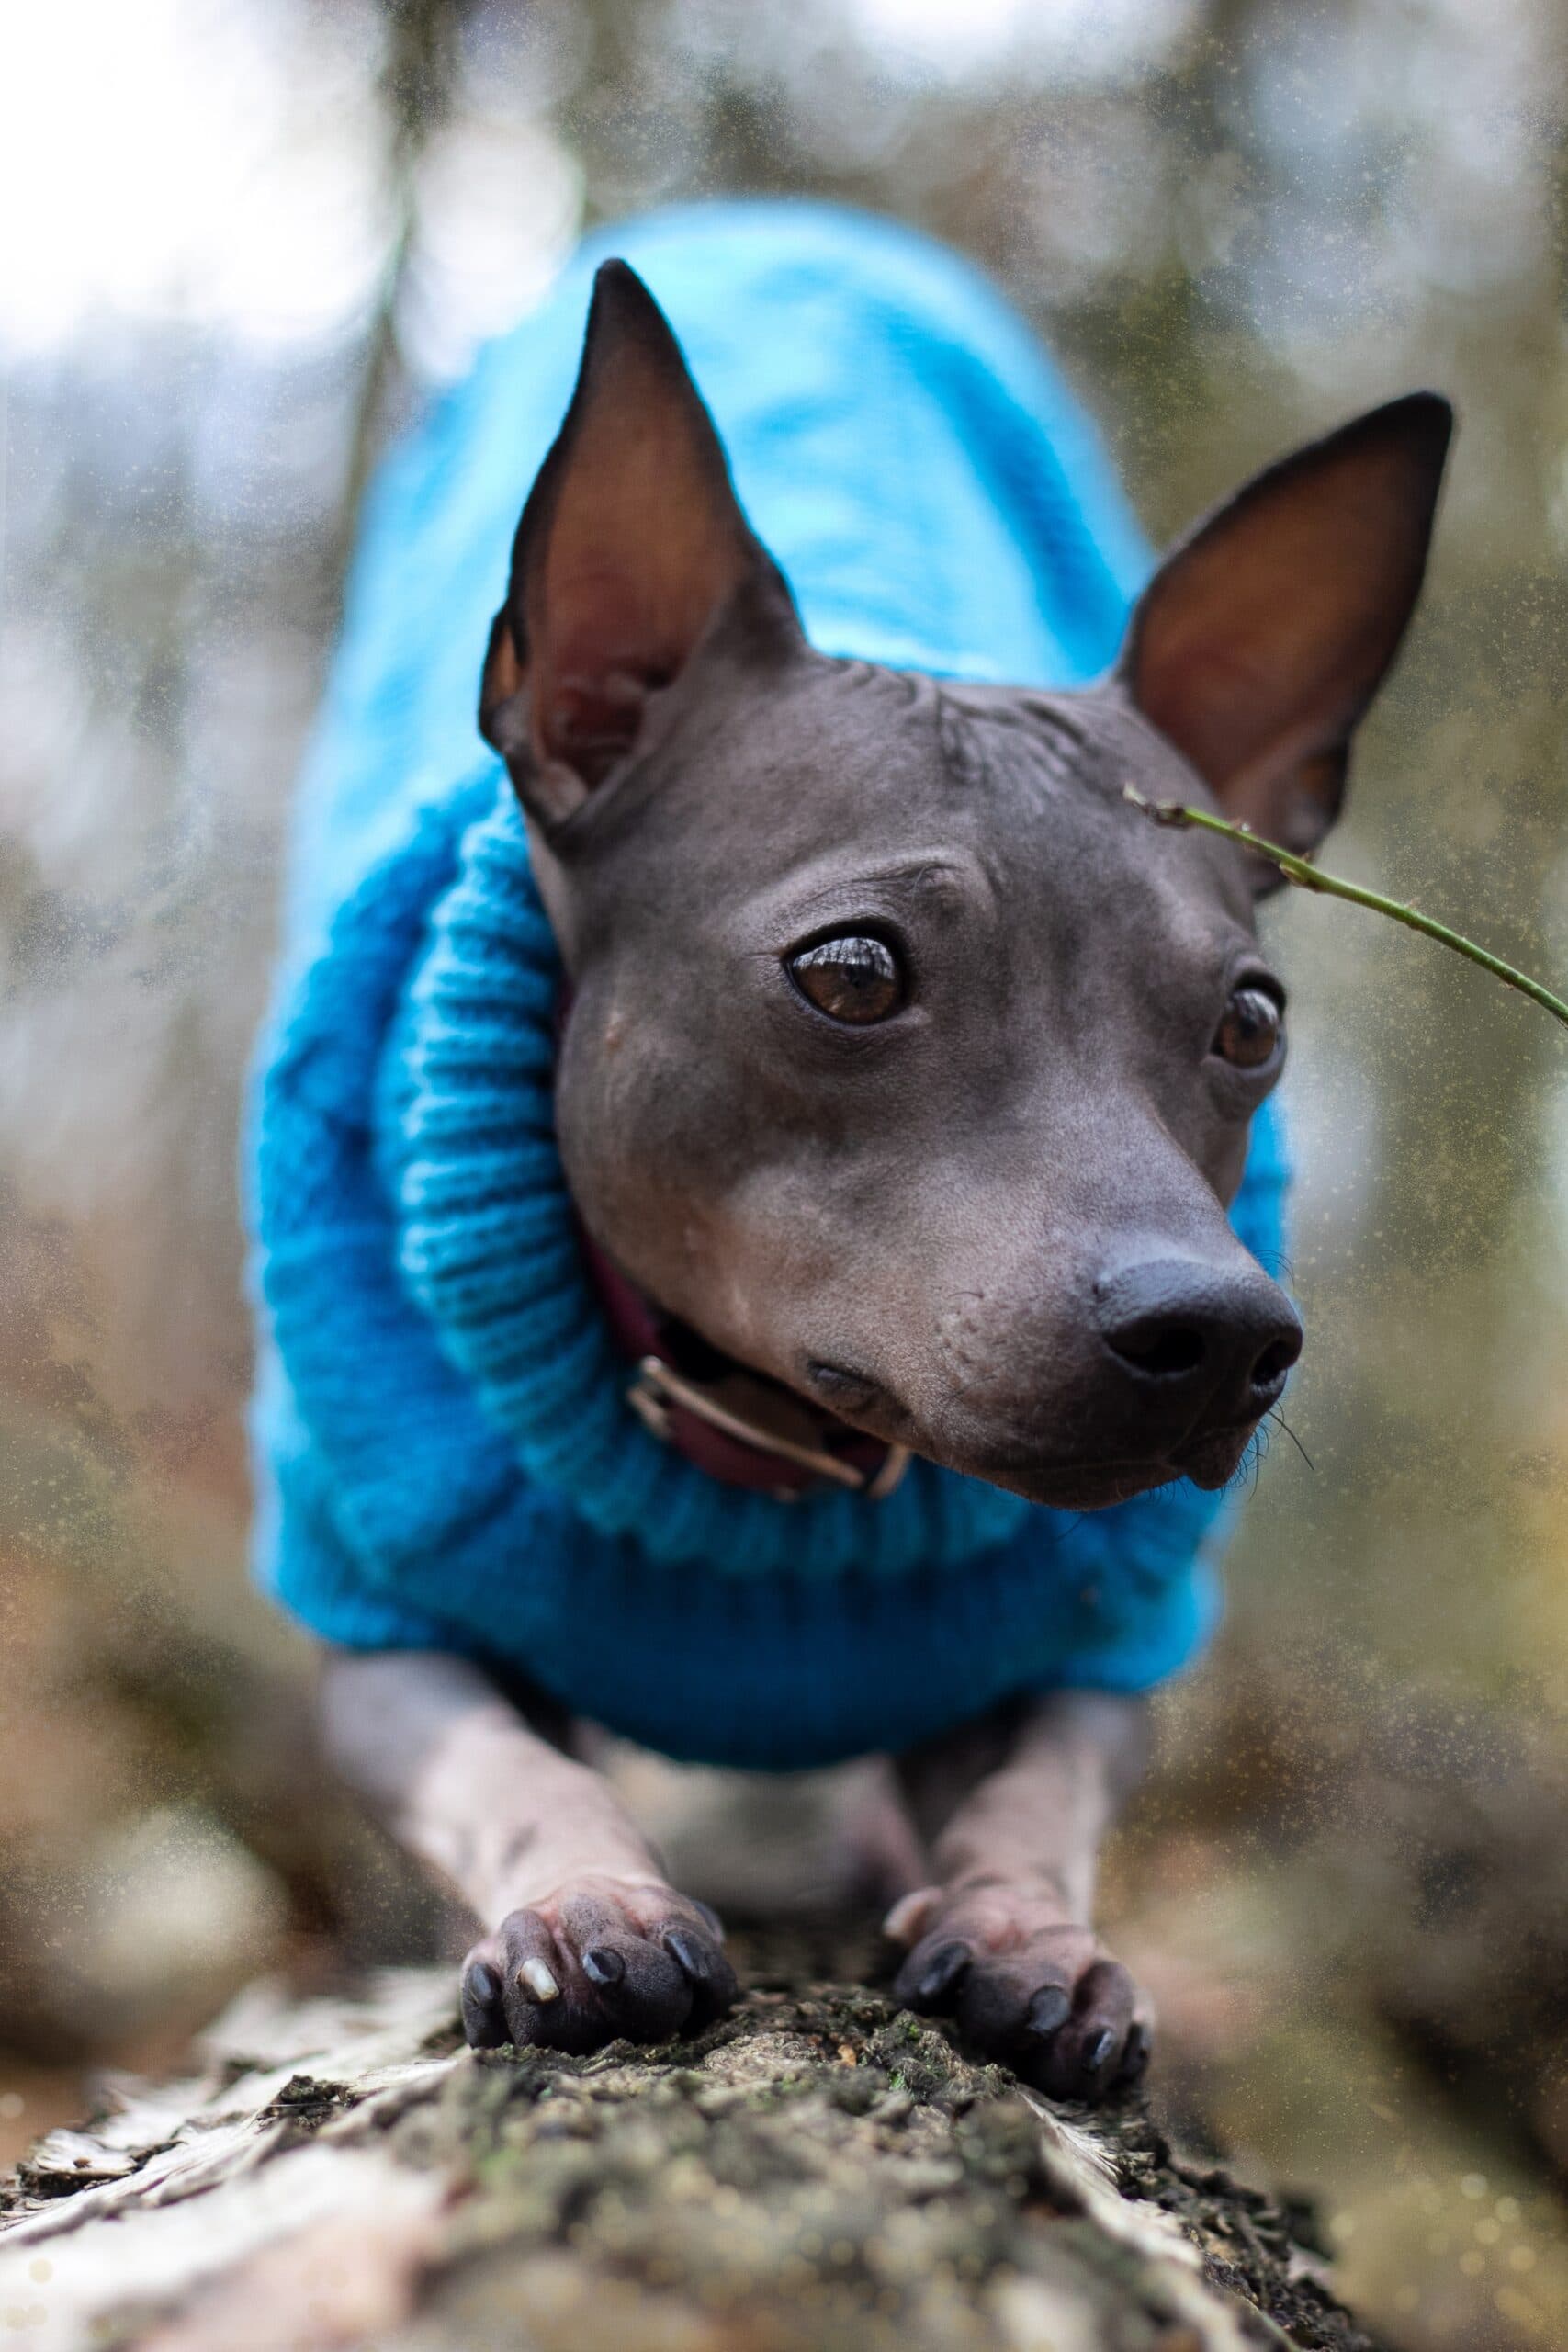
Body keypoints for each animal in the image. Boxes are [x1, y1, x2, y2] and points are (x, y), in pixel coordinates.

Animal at [251, 198, 1457, 2098]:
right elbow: (507, 1763)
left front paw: (1025, 1928)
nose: (1220, 1336)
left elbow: (1040, 1784)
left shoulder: (1101, 1636)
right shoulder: (381, 1627)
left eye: (1248, 1023)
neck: (770, 1477)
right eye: (851, 972)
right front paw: (586, 1899)